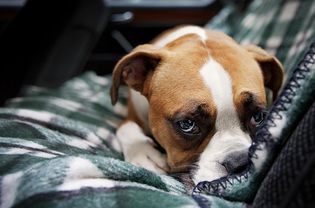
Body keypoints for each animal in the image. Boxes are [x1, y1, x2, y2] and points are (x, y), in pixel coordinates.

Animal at [110, 25, 284, 186]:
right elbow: (126, 129)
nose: (239, 162)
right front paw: (143, 154)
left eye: (258, 117)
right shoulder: (132, 116)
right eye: (187, 124)